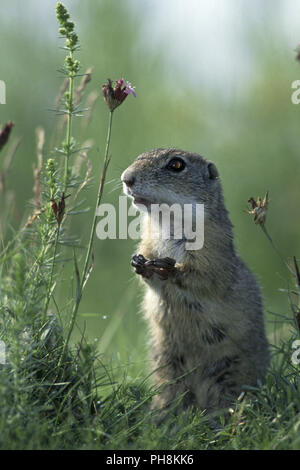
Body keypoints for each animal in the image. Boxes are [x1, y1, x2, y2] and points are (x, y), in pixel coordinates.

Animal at [121, 147, 270, 414]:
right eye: (138, 156)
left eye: (176, 165)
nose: (126, 178)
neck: (166, 222)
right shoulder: (148, 240)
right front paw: (139, 263)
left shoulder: (212, 247)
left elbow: (204, 277)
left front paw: (168, 268)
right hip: (166, 365)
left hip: (233, 369)